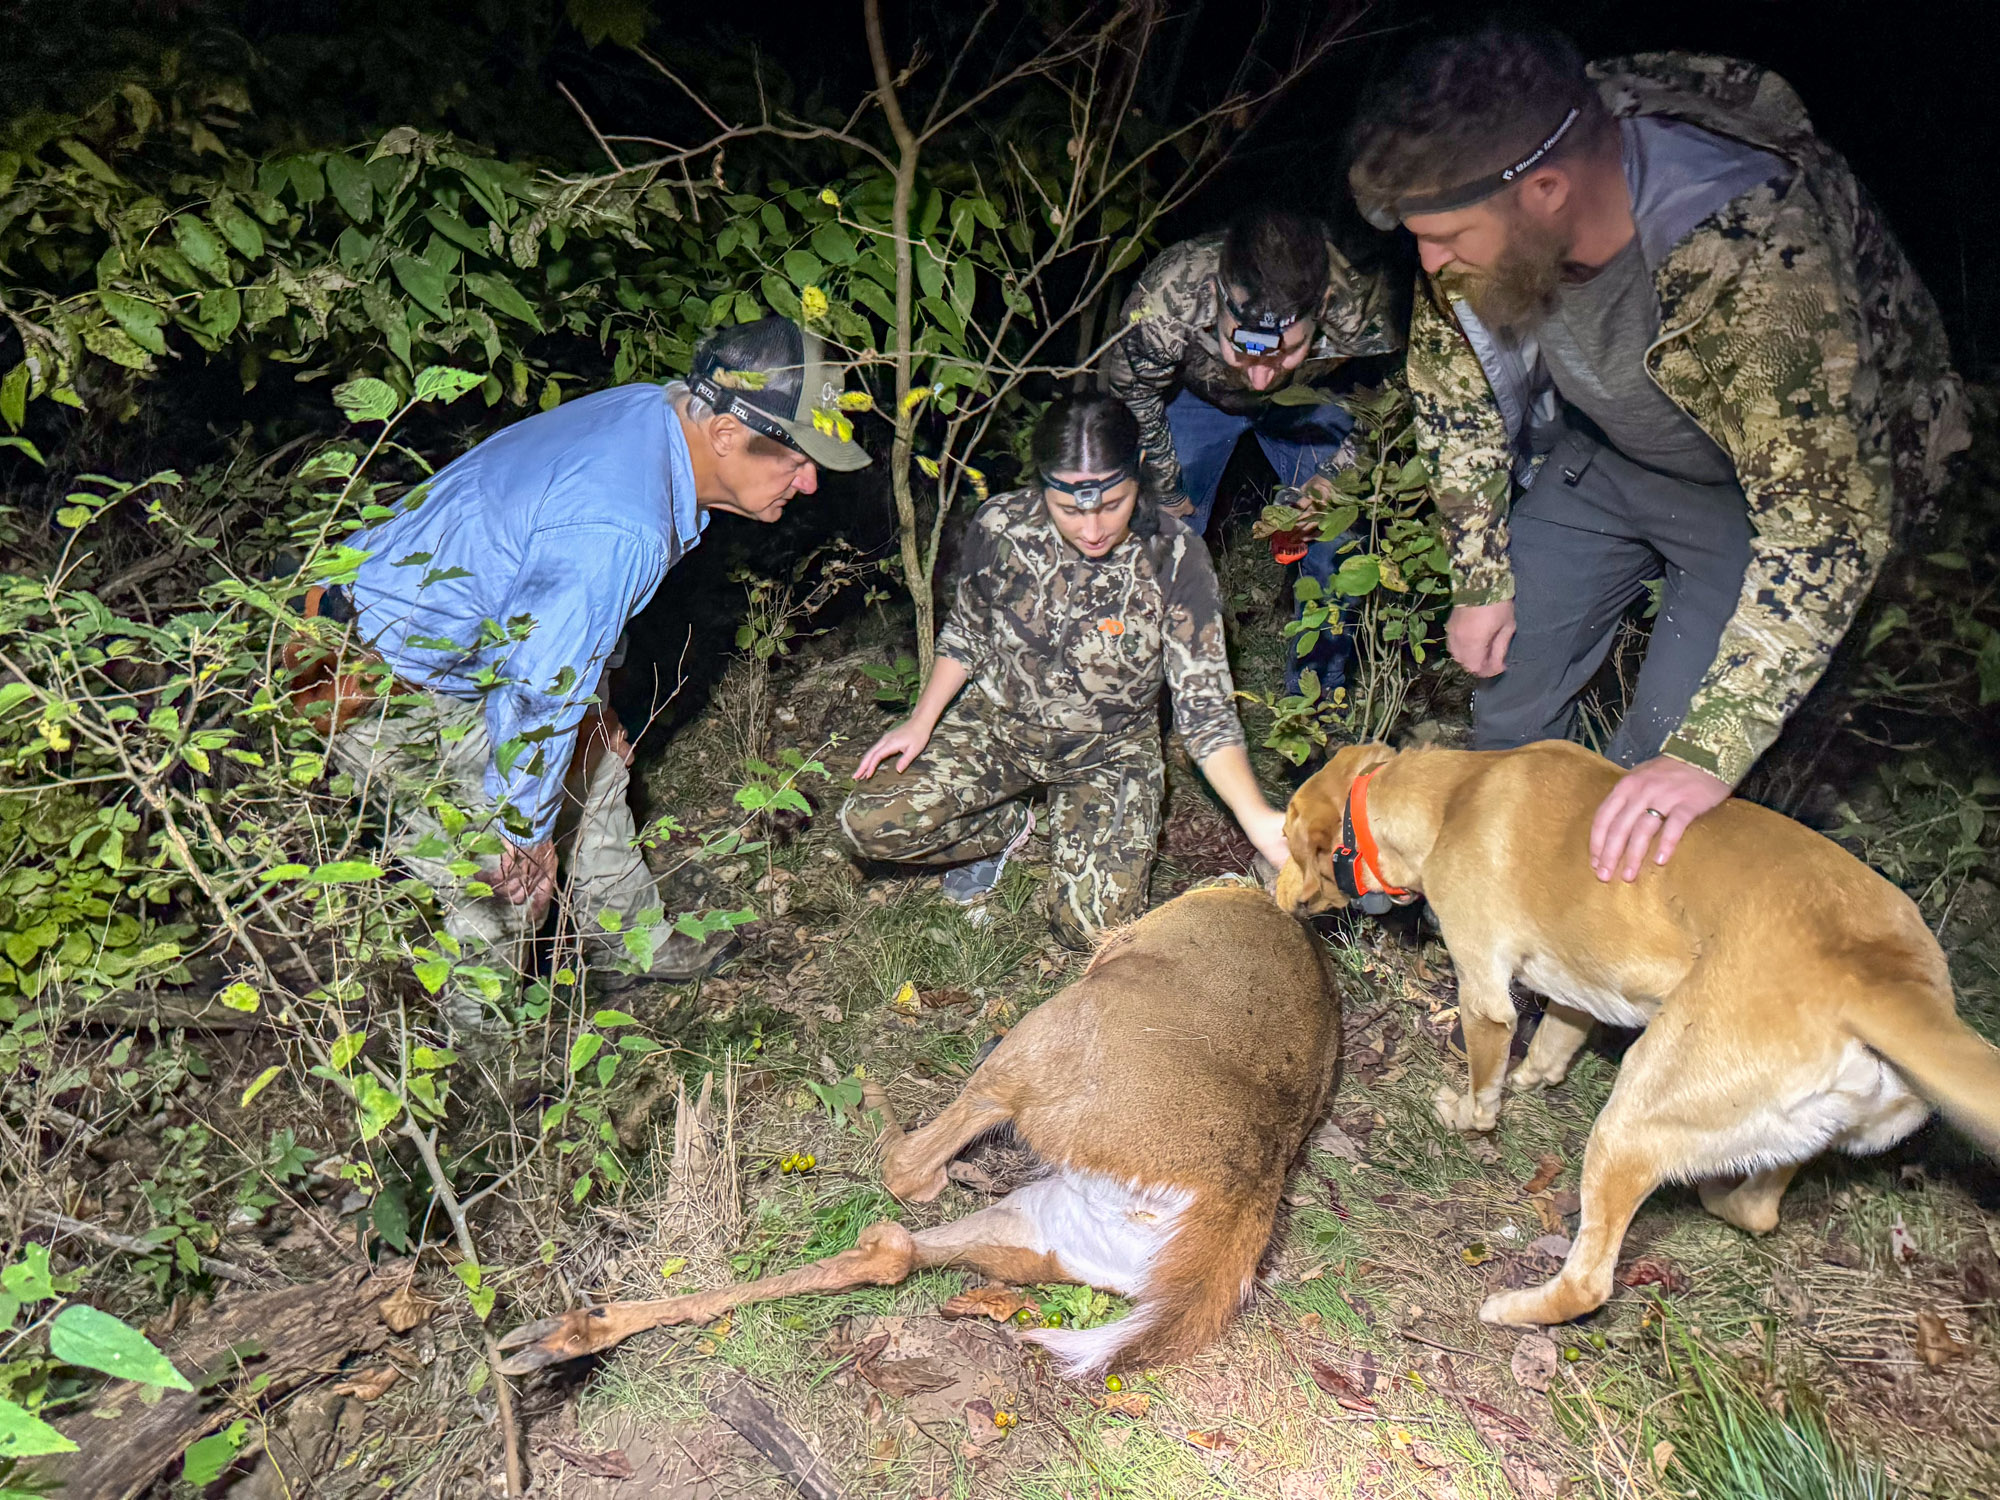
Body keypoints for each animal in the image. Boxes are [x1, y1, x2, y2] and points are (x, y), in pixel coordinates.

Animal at [498, 880, 1344, 1384]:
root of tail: (1237, 1207)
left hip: (1043, 1051)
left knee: (906, 1174)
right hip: (1047, 1229)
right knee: (894, 1248)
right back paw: (556, 1336)